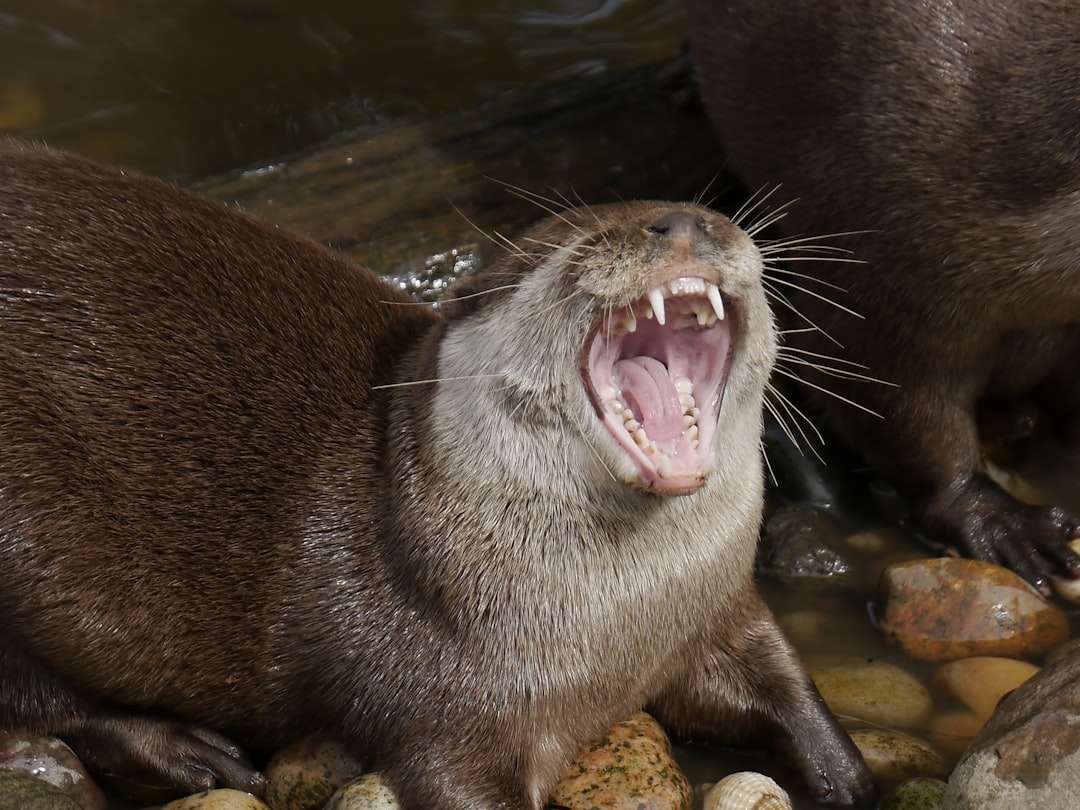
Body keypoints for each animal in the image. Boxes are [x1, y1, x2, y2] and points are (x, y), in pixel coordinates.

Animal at [0, 141, 873, 808]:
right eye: (556, 247)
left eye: (714, 213)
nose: (686, 220)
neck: (623, 619)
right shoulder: (447, 713)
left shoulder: (720, 611)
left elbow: (785, 685)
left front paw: (848, 776)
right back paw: (186, 750)